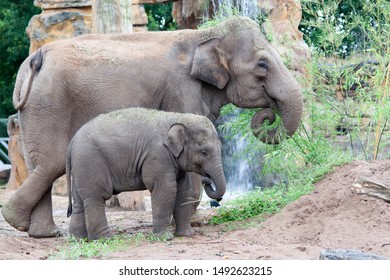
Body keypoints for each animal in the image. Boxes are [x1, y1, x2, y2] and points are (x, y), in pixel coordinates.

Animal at [66, 108, 225, 240]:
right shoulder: (157, 155)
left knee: (79, 201)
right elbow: (166, 189)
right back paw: (105, 239)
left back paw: (78, 239)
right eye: (204, 153)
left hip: (80, 166)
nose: (207, 179)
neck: (177, 117)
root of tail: (72, 142)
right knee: (96, 197)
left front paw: (187, 234)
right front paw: (165, 237)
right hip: (90, 161)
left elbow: (183, 190)